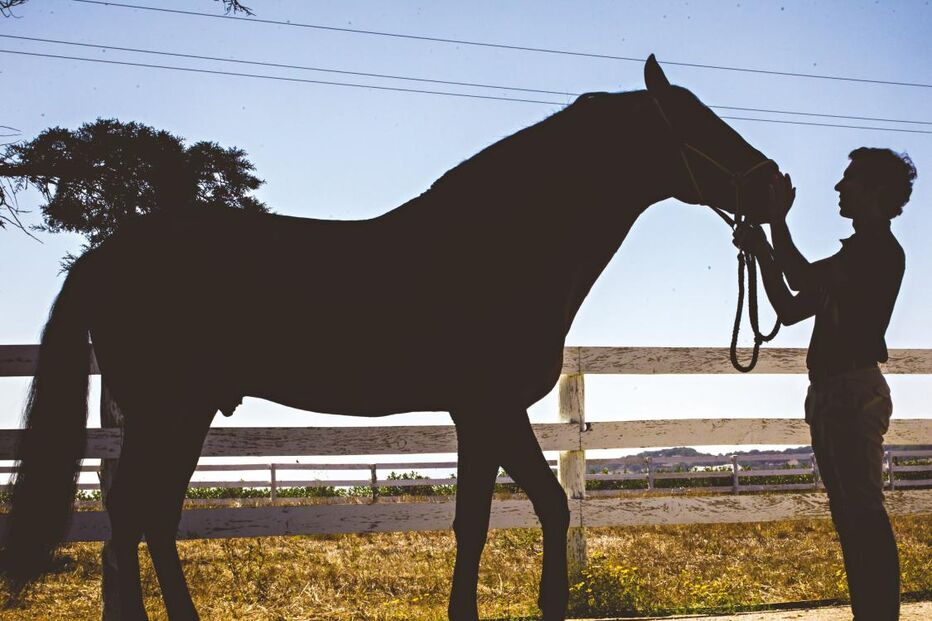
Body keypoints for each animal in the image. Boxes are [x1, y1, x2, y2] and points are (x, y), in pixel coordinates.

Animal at [1, 56, 779, 621]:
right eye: (697, 121)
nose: (782, 185)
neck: (504, 245)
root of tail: (104, 253)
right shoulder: (489, 407)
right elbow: (509, 513)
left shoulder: (484, 415)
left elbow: (504, 513)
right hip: (169, 412)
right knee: (133, 517)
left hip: (179, 417)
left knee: (151, 519)